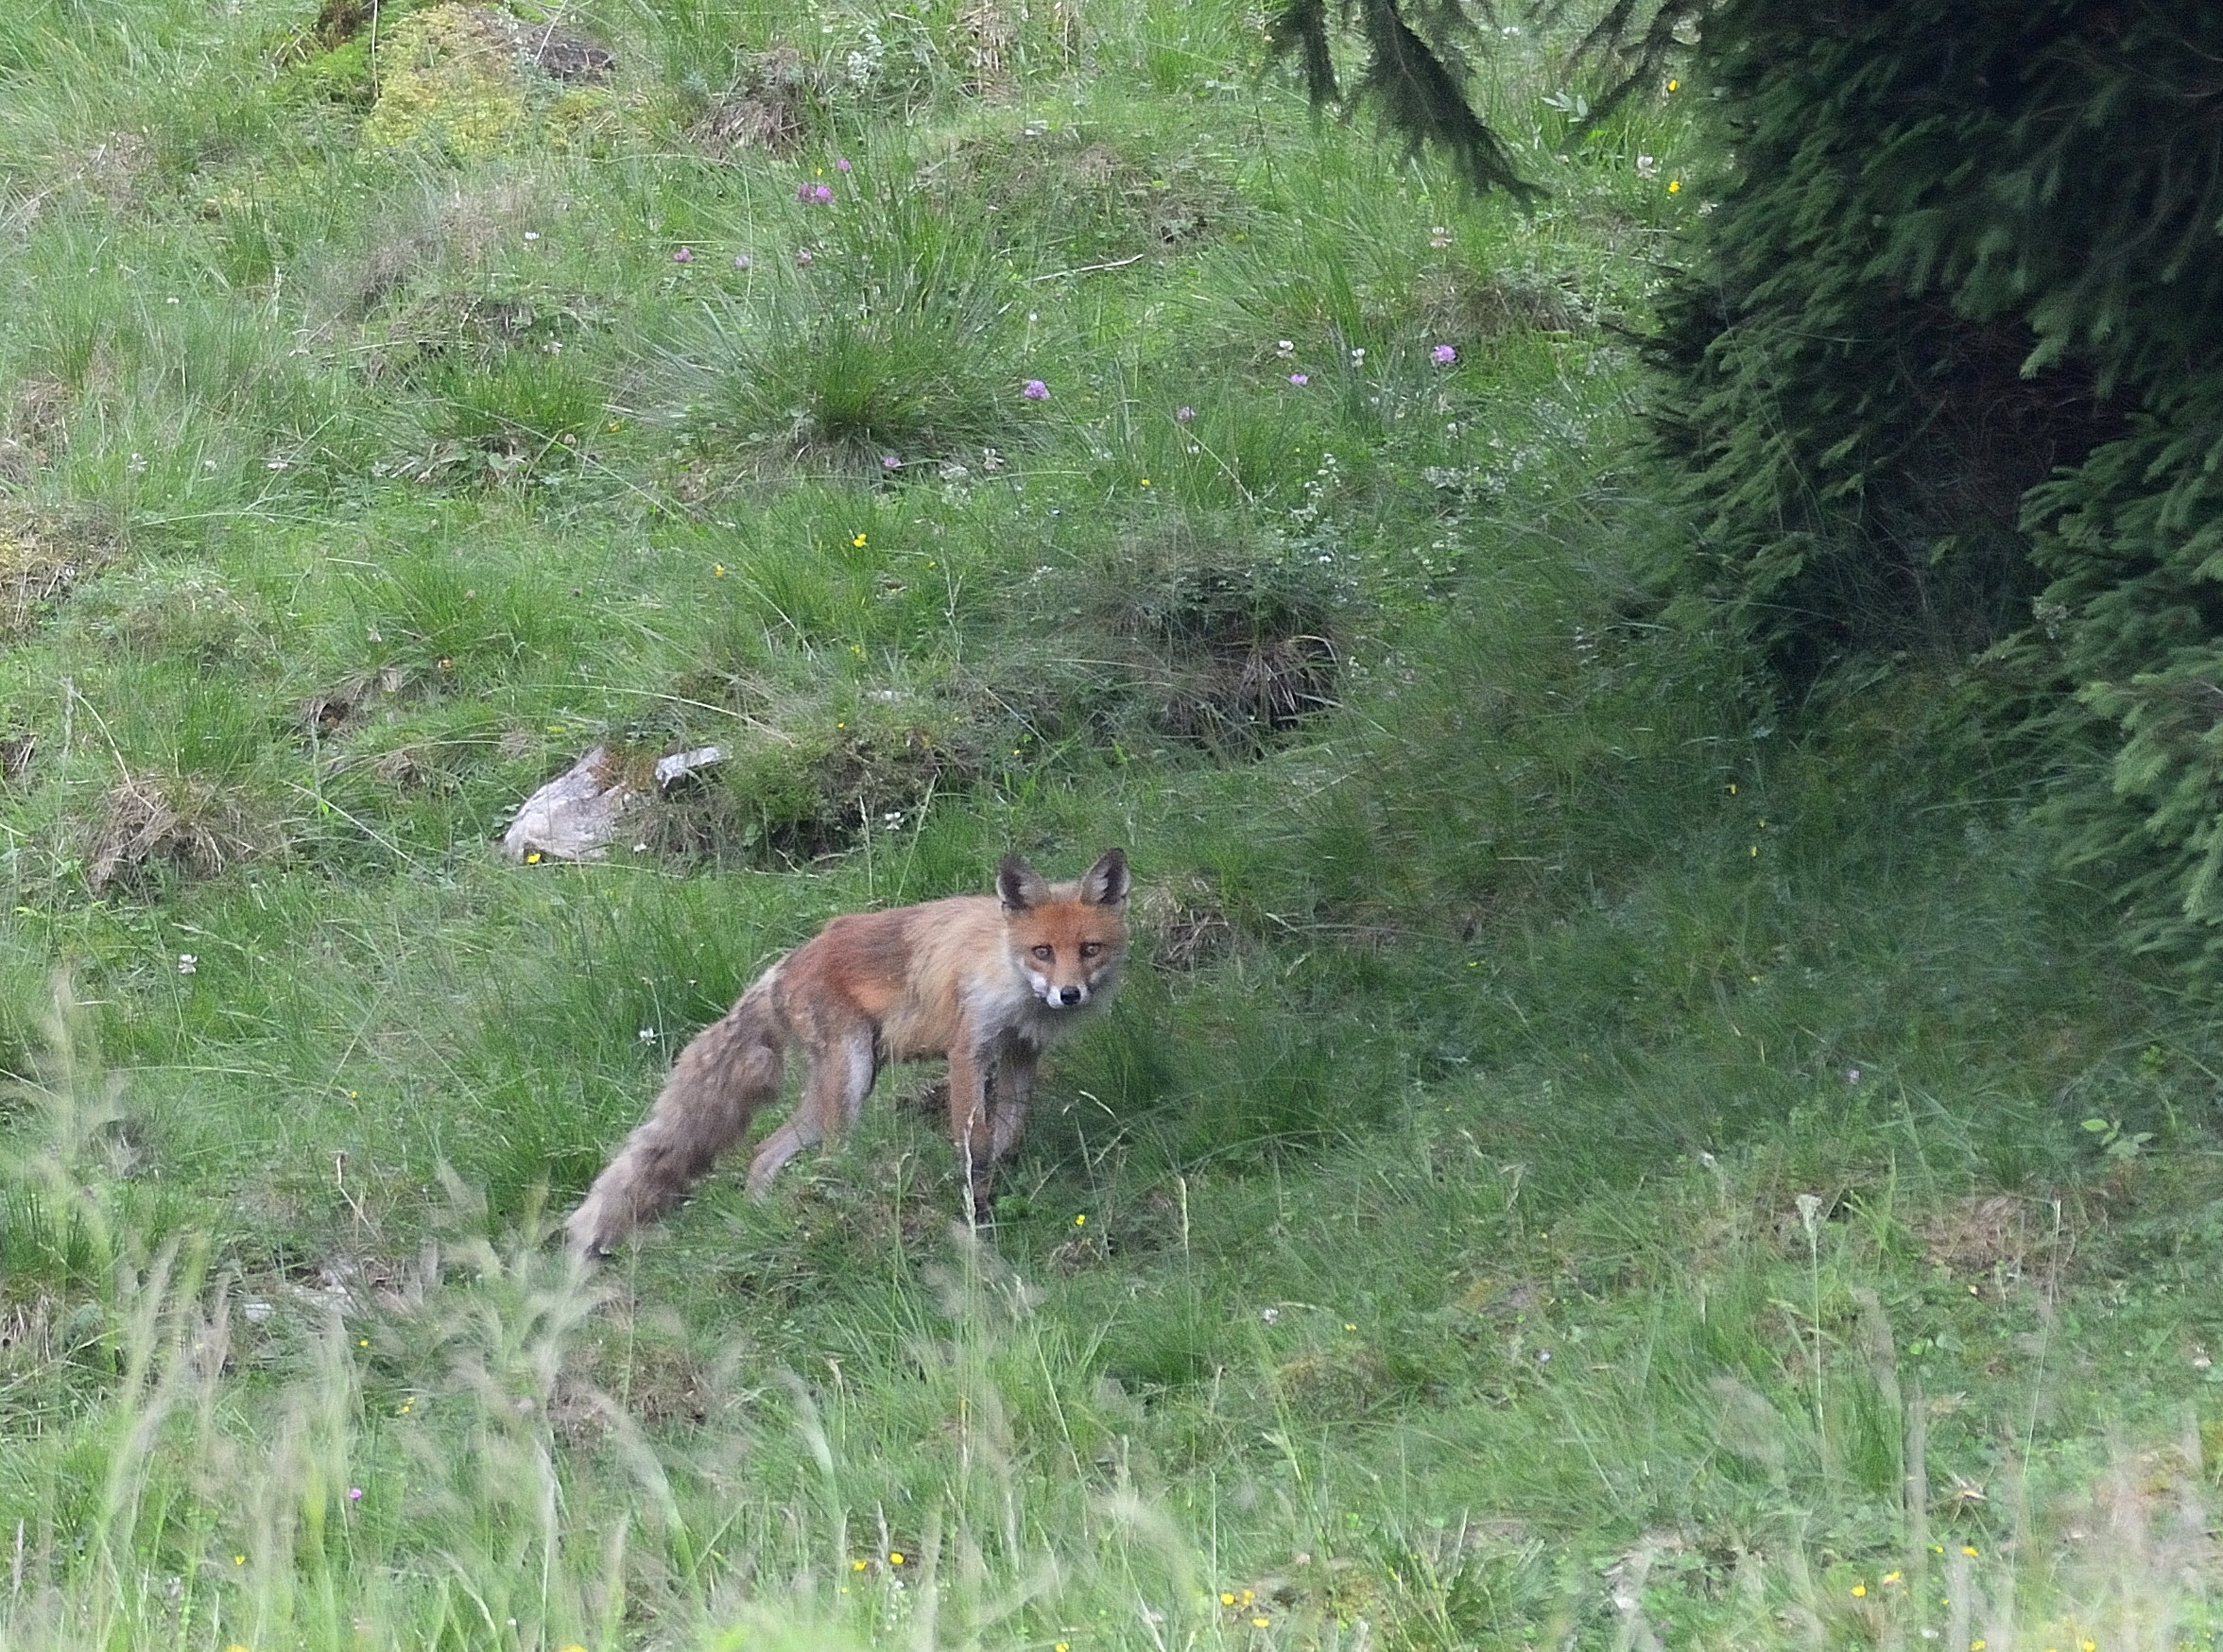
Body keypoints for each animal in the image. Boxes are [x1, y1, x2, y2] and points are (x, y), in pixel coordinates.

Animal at [566, 848, 1130, 1256]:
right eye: (1043, 952)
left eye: (1089, 949)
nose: (1069, 994)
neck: (1010, 974)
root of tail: (783, 966)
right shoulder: (968, 1049)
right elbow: (975, 1138)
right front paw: (977, 1203)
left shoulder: (1020, 1051)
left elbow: (1010, 1132)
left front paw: (1001, 1180)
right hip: (852, 1079)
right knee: (824, 1153)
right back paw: (833, 1205)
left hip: (841, 1086)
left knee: (764, 1151)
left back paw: (762, 1218)